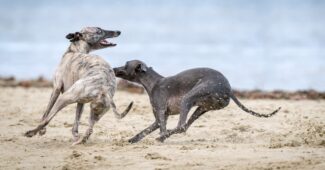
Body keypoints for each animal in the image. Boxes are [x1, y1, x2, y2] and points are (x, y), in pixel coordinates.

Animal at [113, 59, 278, 142]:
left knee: (181, 126)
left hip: (188, 99)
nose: (113, 68)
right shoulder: (159, 119)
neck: (153, 82)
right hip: (201, 108)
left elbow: (162, 128)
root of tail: (229, 89)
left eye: (125, 64)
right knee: (184, 126)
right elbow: (144, 131)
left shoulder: (161, 113)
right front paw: (132, 140)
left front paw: (162, 137)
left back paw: (164, 137)